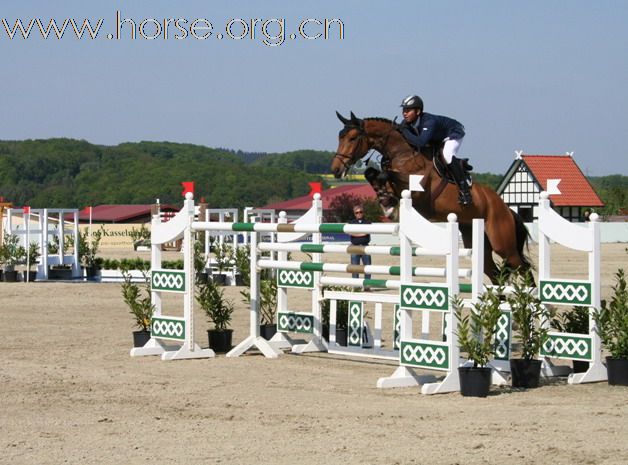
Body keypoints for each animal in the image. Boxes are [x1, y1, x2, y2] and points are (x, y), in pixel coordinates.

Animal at [332, 111, 532, 282]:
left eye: (352, 138)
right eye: (340, 137)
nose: (336, 170)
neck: (401, 153)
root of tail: (506, 208)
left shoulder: (417, 190)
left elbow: (385, 175)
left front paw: (387, 201)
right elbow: (372, 173)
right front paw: (385, 199)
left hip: (503, 244)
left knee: (523, 268)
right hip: (475, 240)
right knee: (496, 274)